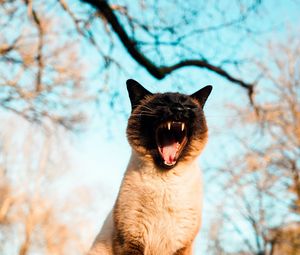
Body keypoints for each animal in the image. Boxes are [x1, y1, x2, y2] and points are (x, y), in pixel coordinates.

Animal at [88, 78, 212, 254]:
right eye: (161, 103)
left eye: (188, 106)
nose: (178, 109)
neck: (165, 182)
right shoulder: (132, 240)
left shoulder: (181, 246)